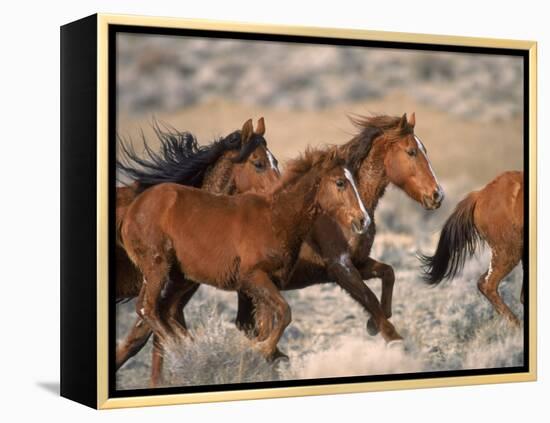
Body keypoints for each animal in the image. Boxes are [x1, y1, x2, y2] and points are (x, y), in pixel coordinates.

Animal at [115, 117, 280, 380]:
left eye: (277, 161)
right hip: (156, 269)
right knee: (145, 309)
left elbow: (152, 338)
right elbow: (145, 336)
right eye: (259, 163)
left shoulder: (180, 289)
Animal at [120, 148, 370, 372]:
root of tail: (132, 210)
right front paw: (261, 349)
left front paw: (264, 353)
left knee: (162, 310)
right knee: (148, 308)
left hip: (180, 277)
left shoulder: (268, 285)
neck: (275, 219)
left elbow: (269, 323)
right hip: (158, 267)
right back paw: (186, 351)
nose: (363, 220)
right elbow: (285, 312)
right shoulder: (254, 277)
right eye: (340, 182)